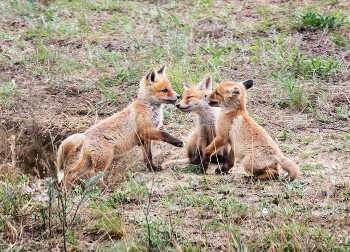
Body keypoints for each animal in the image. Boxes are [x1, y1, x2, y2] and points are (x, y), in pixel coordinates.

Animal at [57, 66, 185, 188]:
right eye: (165, 90)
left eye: (170, 88)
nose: (179, 96)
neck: (149, 107)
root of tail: (84, 134)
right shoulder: (145, 130)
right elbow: (164, 134)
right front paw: (178, 142)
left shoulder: (145, 138)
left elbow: (148, 156)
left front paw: (153, 168)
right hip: (104, 159)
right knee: (94, 178)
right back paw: (104, 191)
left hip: (89, 161)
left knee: (71, 174)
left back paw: (66, 193)